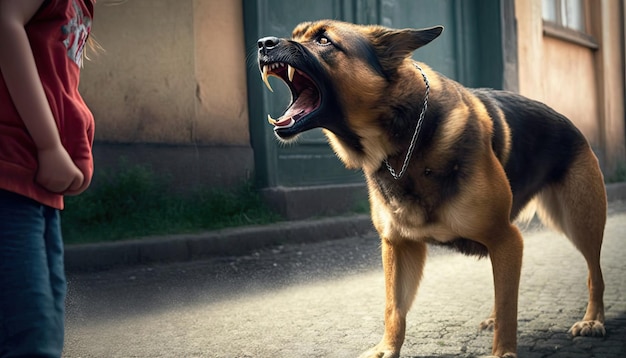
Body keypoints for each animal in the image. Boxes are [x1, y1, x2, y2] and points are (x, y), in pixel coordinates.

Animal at [255, 20, 604, 358]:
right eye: (297, 34)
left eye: (324, 40)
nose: (262, 43)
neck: (405, 137)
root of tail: (568, 122)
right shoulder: (398, 246)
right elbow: (394, 308)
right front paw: (387, 349)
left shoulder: (506, 237)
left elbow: (508, 307)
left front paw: (502, 352)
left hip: (580, 222)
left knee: (593, 273)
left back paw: (593, 320)